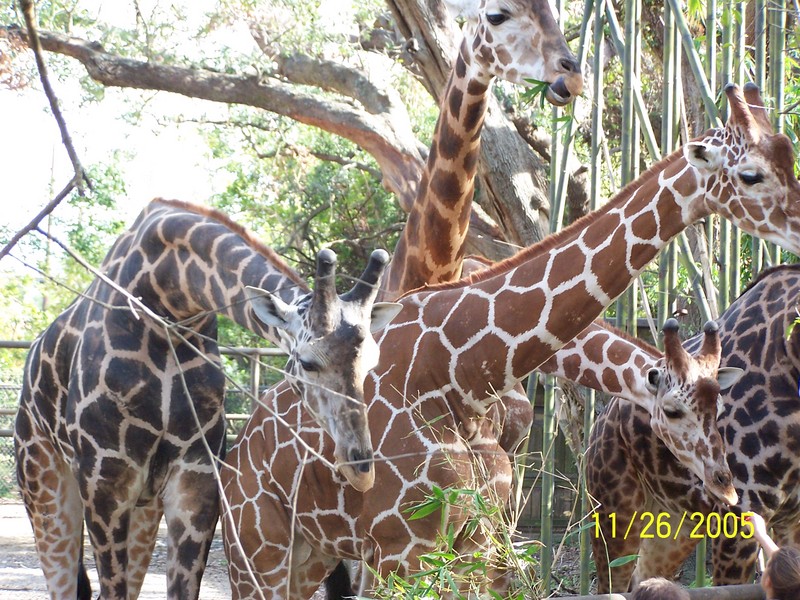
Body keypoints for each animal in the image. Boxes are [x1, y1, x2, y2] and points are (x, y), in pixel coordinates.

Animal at [12, 200, 400, 600]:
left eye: (372, 362)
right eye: (308, 362)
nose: (361, 469)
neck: (169, 308)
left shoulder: (195, 482)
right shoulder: (105, 482)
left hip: (143, 508)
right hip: (44, 482)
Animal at [584, 264, 800, 592]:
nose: (724, 485)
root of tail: (600, 422)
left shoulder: (792, 519)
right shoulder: (739, 520)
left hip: (674, 522)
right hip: (614, 510)